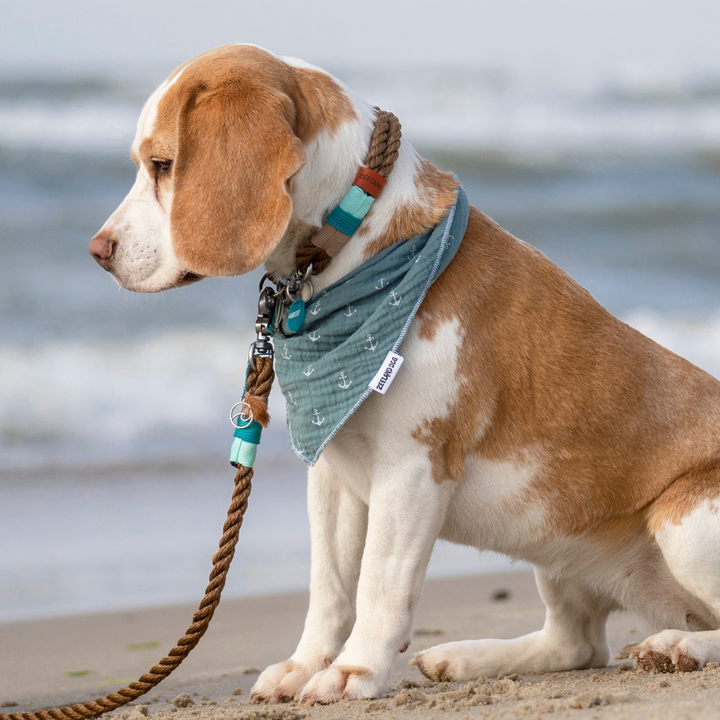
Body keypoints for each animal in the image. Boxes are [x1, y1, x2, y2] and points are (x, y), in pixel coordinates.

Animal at [88, 43, 720, 704]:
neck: (346, 254)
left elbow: (378, 586)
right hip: (557, 547)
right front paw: (306, 664)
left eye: (163, 165)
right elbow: (330, 588)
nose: (97, 251)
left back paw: (679, 646)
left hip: (682, 517)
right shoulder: (334, 472)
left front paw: (353, 672)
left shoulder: (412, 468)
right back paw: (467, 657)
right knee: (577, 645)